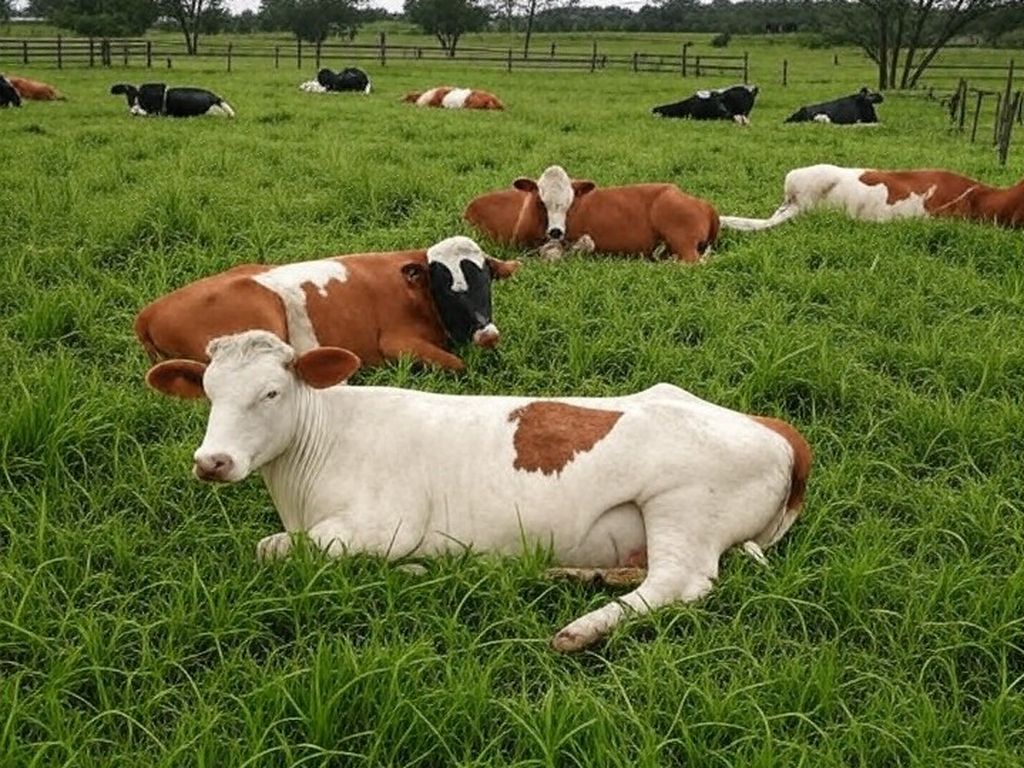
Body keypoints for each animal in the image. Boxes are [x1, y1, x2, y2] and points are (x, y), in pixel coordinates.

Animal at [134, 237, 520, 372]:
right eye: (446, 286)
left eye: (485, 277)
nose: (487, 333)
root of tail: (148, 312)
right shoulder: (396, 344)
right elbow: (458, 364)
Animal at [147, 329, 812, 652]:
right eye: (208, 391)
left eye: (271, 393)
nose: (213, 461)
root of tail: (776, 427)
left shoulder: (384, 525)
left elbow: (273, 549)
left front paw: (415, 570)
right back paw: (574, 574)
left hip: (682, 506)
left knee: (679, 583)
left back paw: (580, 629)